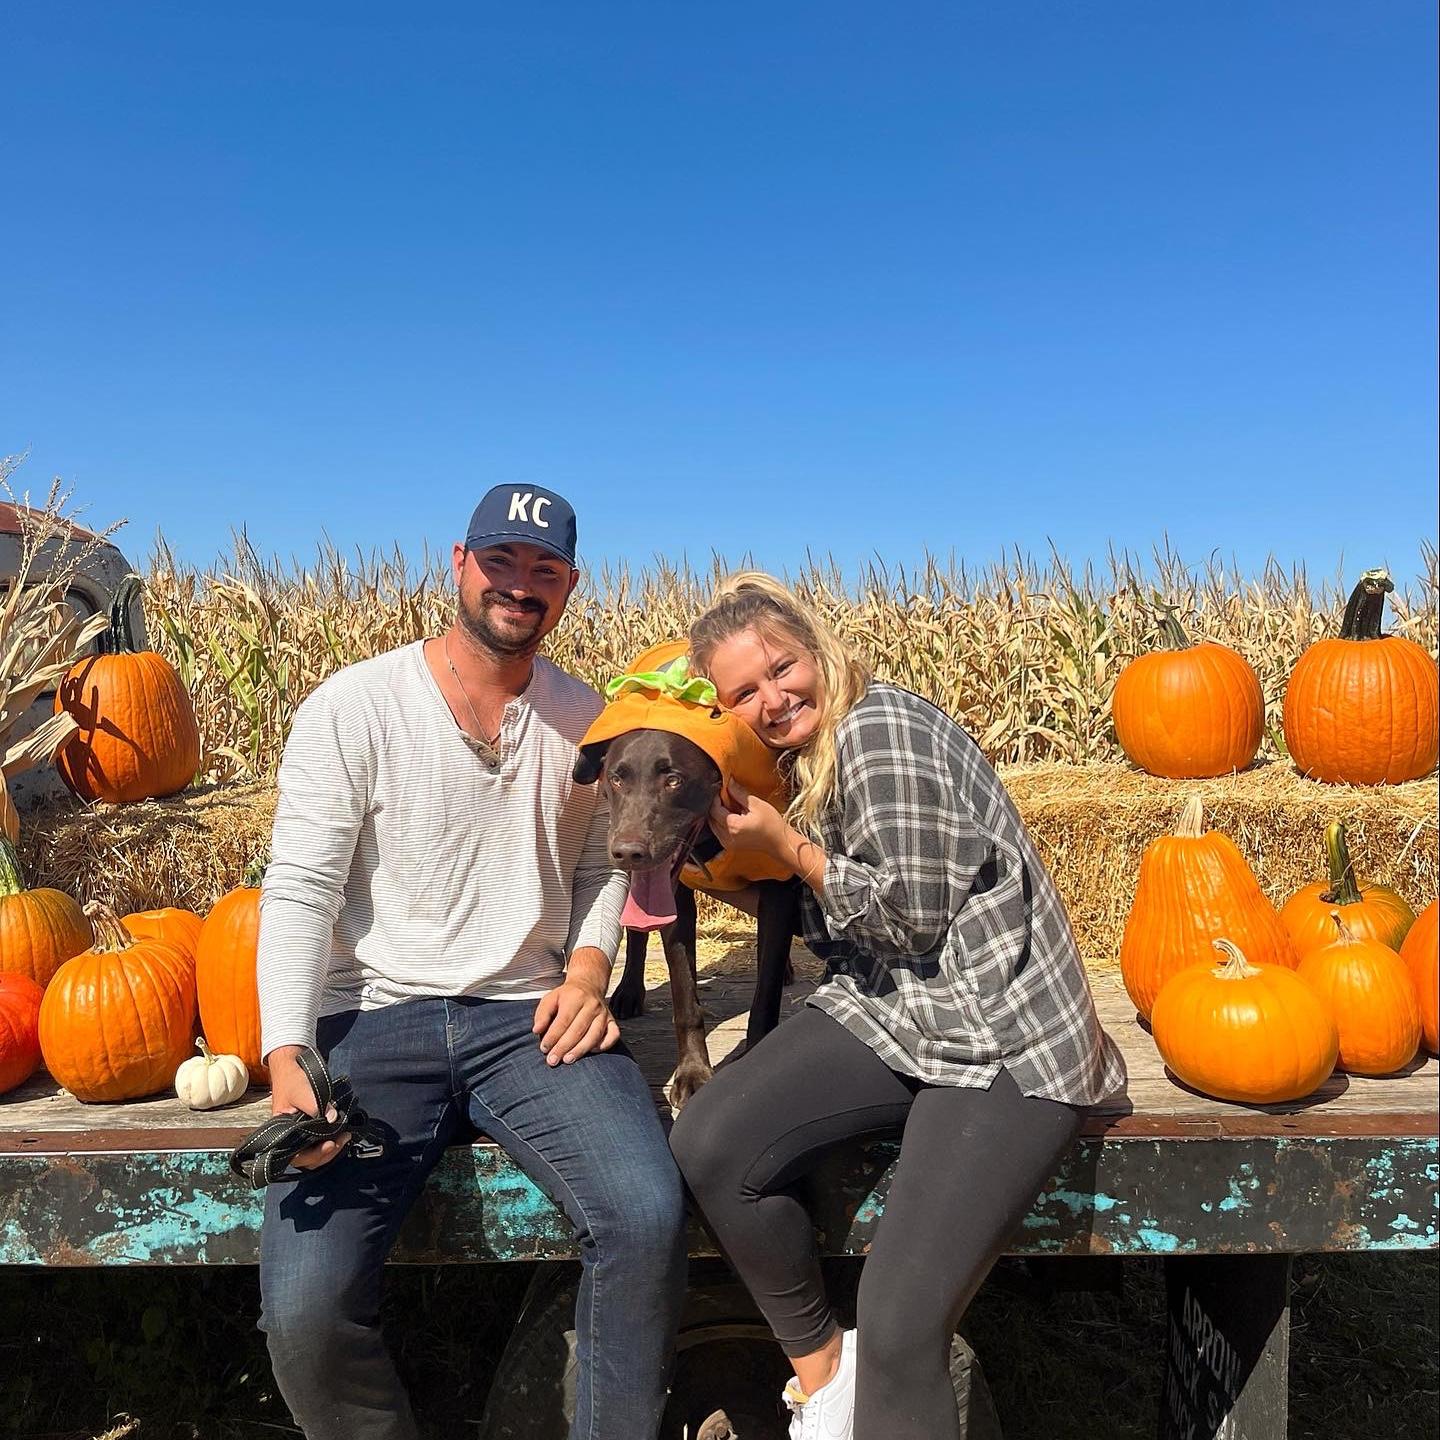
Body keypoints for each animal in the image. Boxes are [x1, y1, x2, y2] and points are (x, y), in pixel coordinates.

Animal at [573, 642, 800, 1107]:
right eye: (616, 778)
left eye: (674, 780)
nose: (628, 851)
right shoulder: (675, 897)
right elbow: (684, 996)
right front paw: (693, 1072)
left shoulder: (780, 885)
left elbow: (765, 993)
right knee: (637, 934)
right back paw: (628, 991)